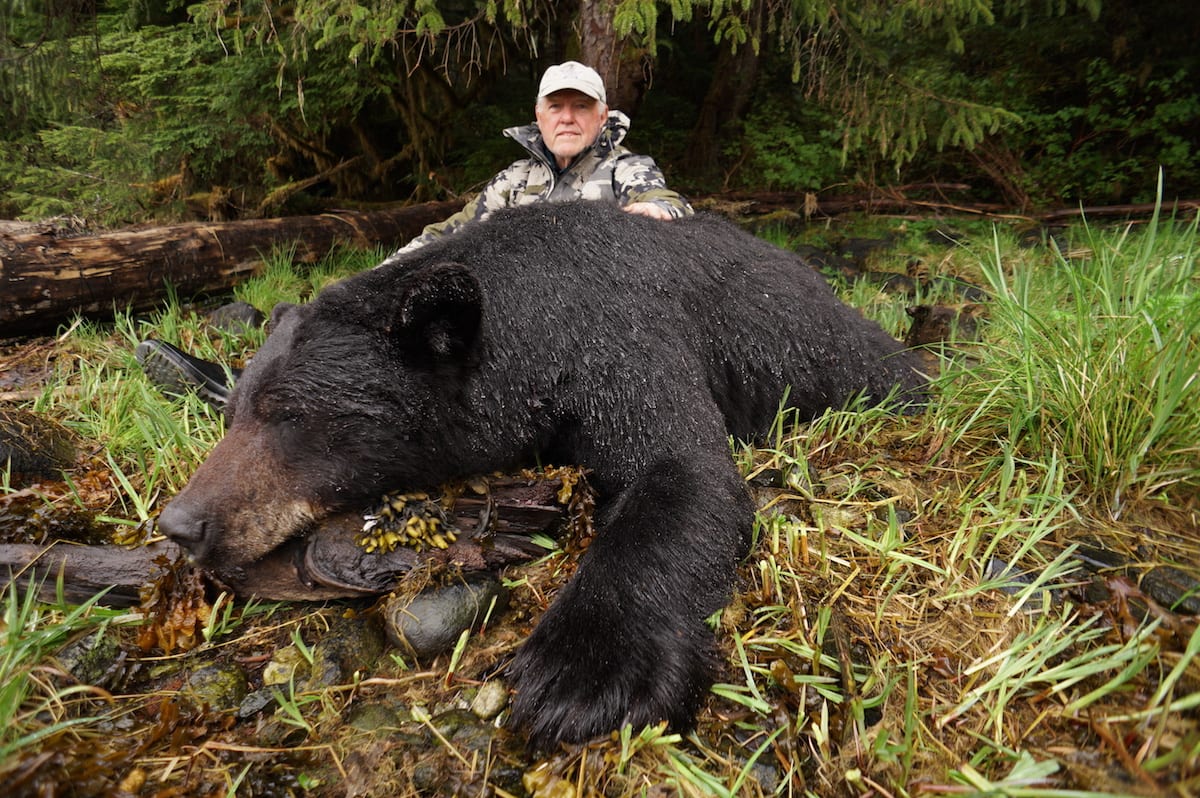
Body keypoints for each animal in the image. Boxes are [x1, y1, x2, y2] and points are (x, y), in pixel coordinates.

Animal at [157, 199, 926, 748]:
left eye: (287, 415)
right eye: (234, 414)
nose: (181, 524)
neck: (537, 317)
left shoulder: (618, 340)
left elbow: (682, 469)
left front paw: (584, 674)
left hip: (828, 346)